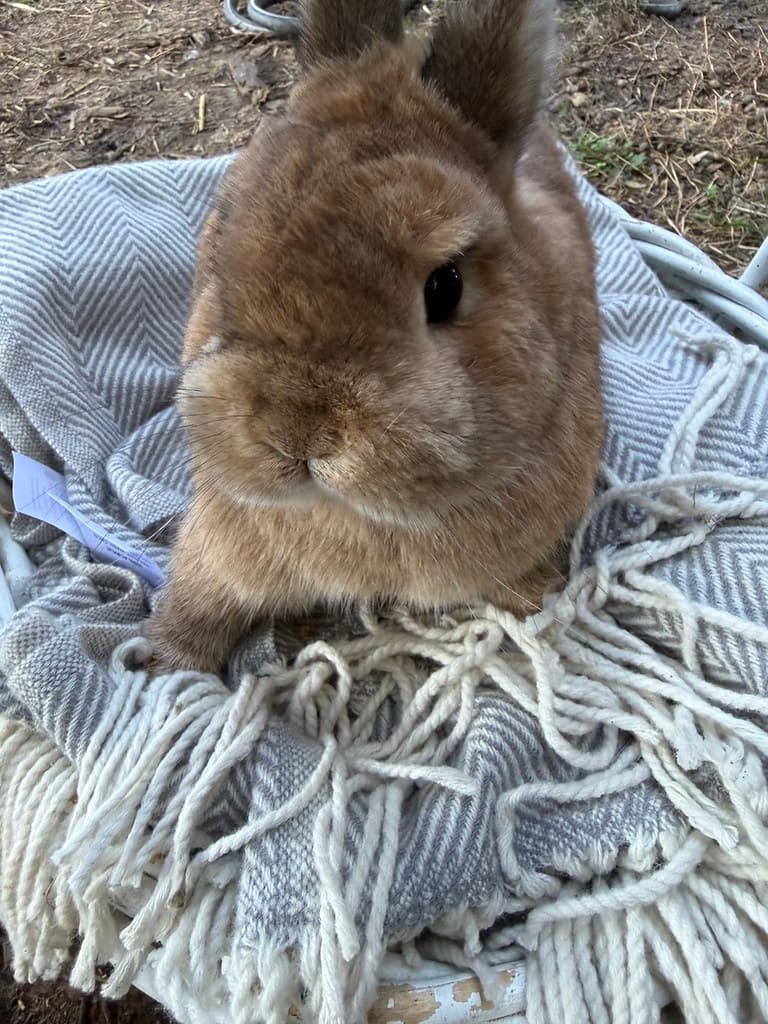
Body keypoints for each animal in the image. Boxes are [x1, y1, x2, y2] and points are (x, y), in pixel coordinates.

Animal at [147, 0, 603, 674]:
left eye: (445, 286)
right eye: (221, 234)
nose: (300, 434)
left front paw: (539, 604)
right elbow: (201, 604)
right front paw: (163, 664)